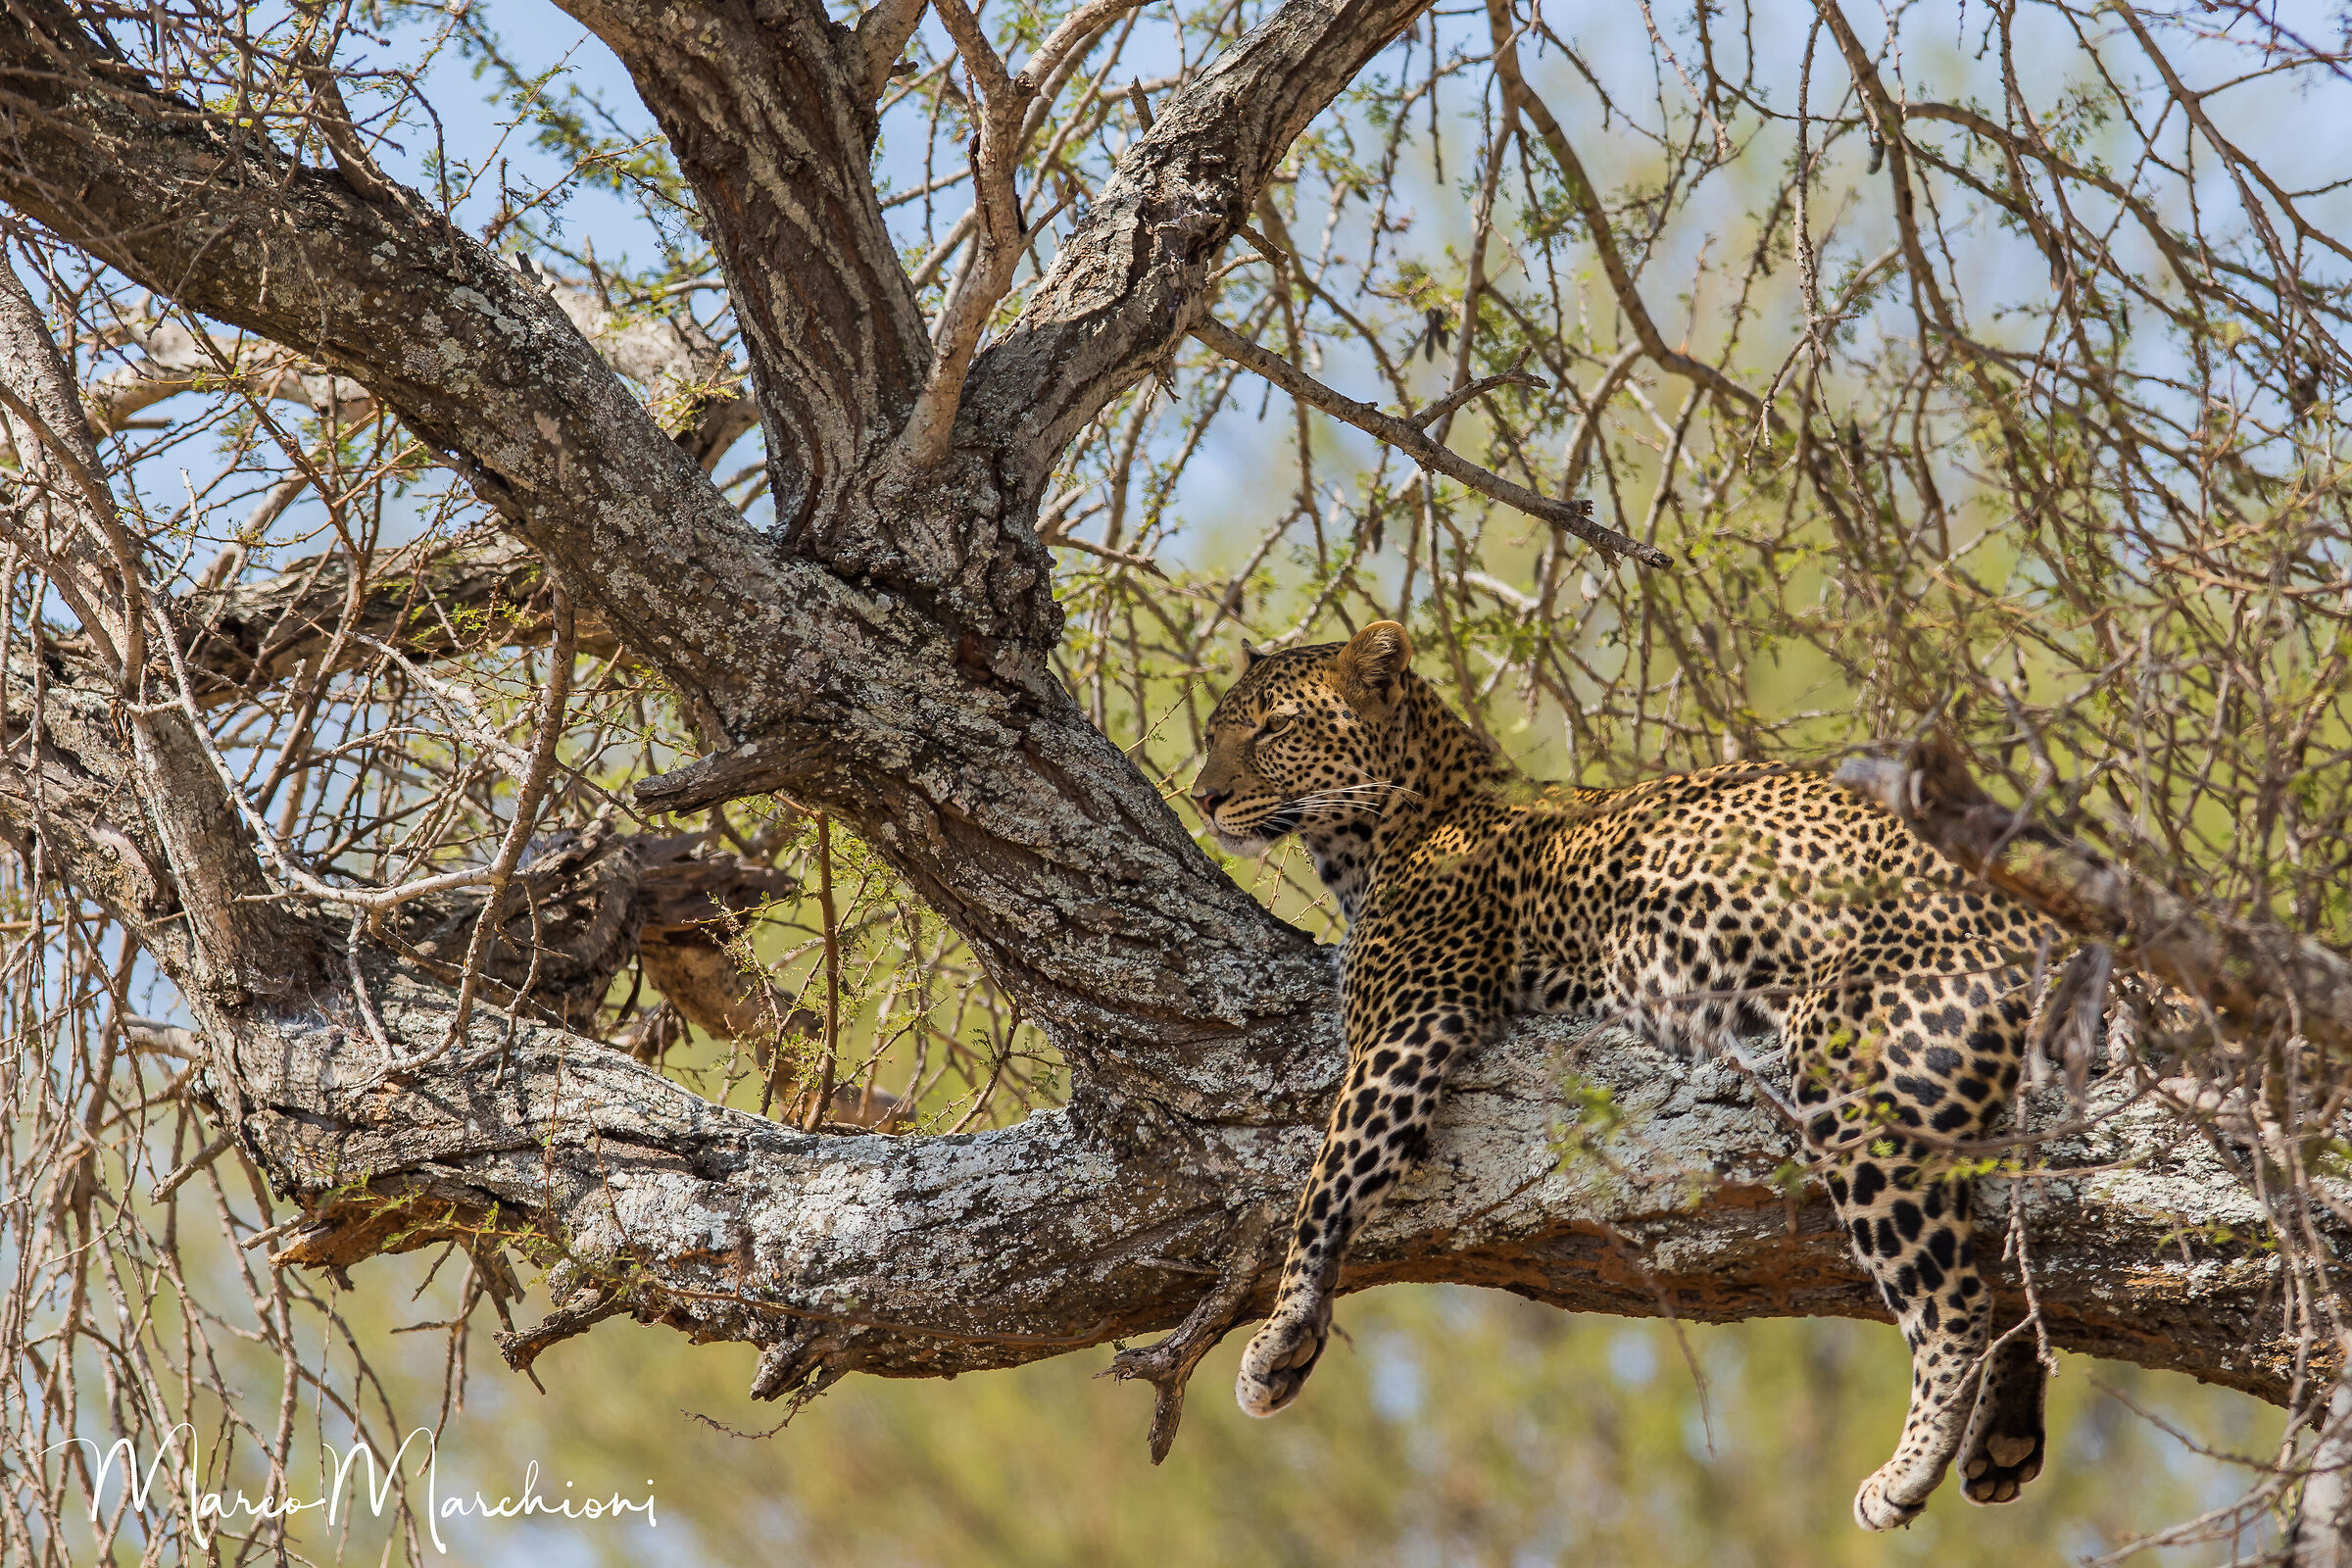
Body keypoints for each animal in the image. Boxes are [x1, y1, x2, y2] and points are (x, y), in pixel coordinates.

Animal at [1188, 620, 2062, 1531]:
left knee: (1954, 1302)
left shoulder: (1404, 1029)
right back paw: (2003, 1437)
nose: (1201, 797)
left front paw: (1281, 1338)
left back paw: (1908, 1469)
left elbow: (1324, 1186)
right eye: (1212, 733)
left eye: (1275, 729)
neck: (1396, 822)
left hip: (1855, 1071)